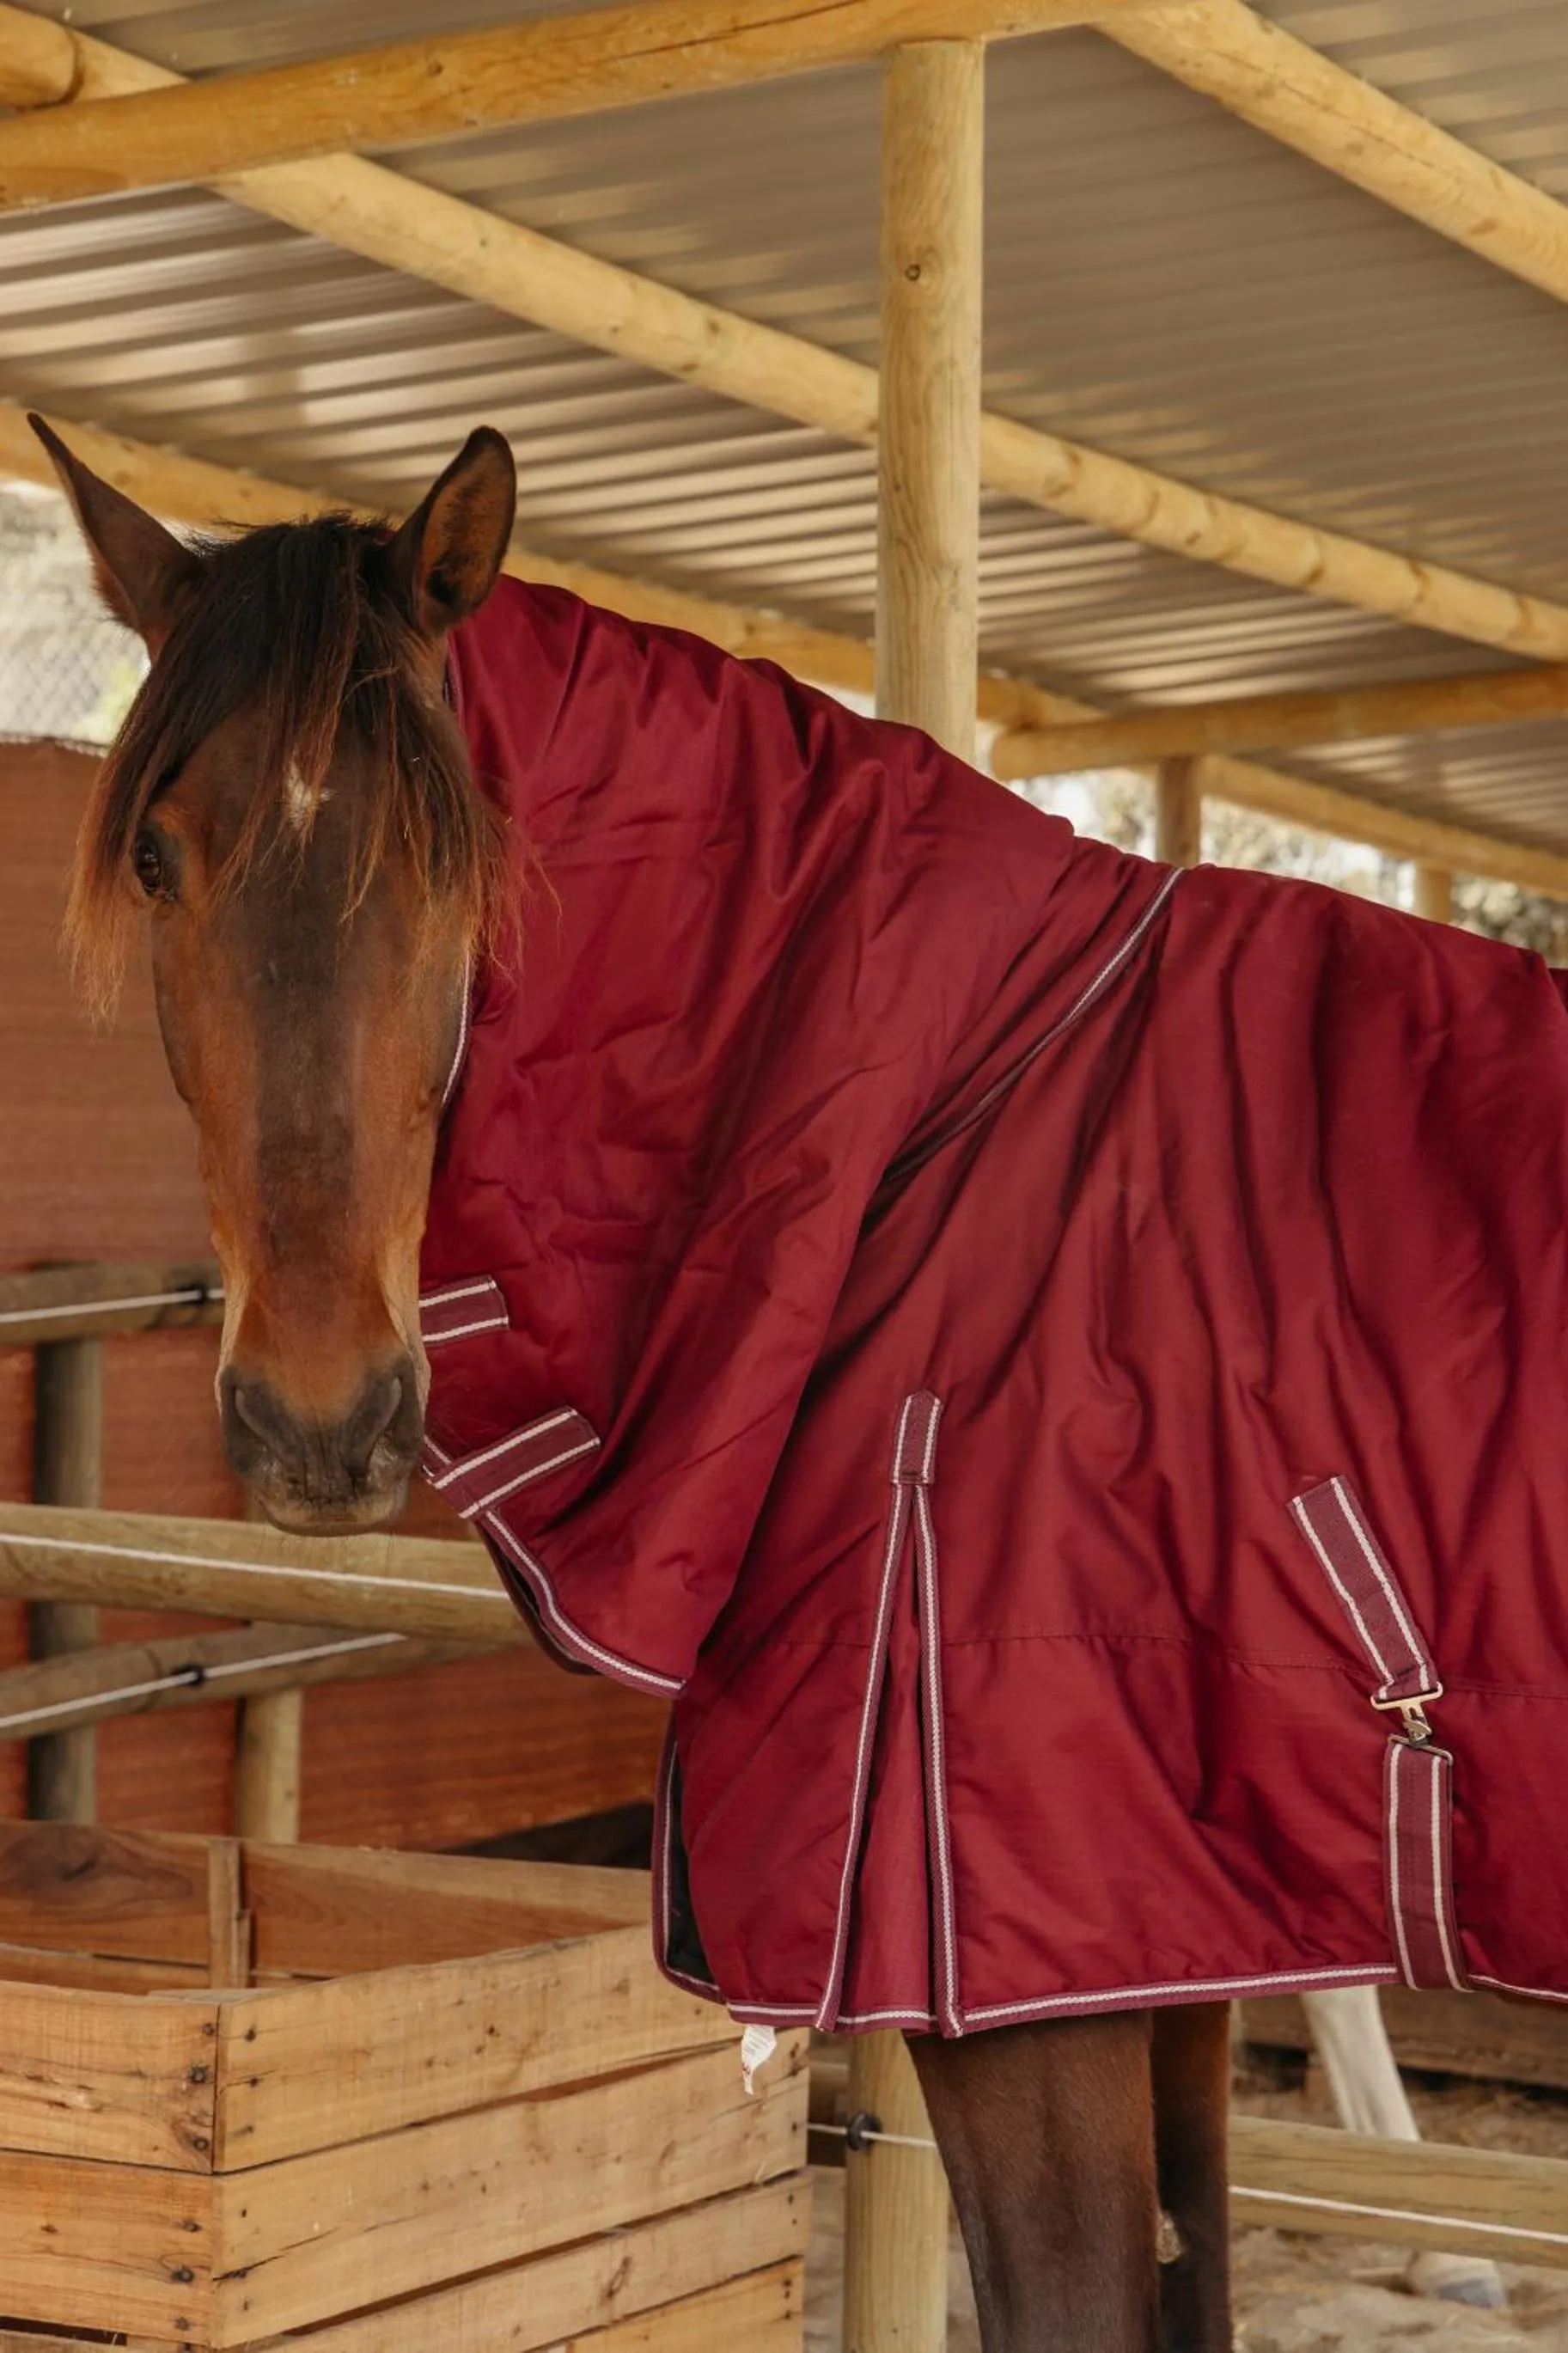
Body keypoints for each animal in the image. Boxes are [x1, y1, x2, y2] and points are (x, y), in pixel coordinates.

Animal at [37, 416, 1568, 2351]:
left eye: (462, 861)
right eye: (160, 858)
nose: (322, 1418)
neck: (956, 1124)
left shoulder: (1038, 1994)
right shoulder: (1185, 1943)